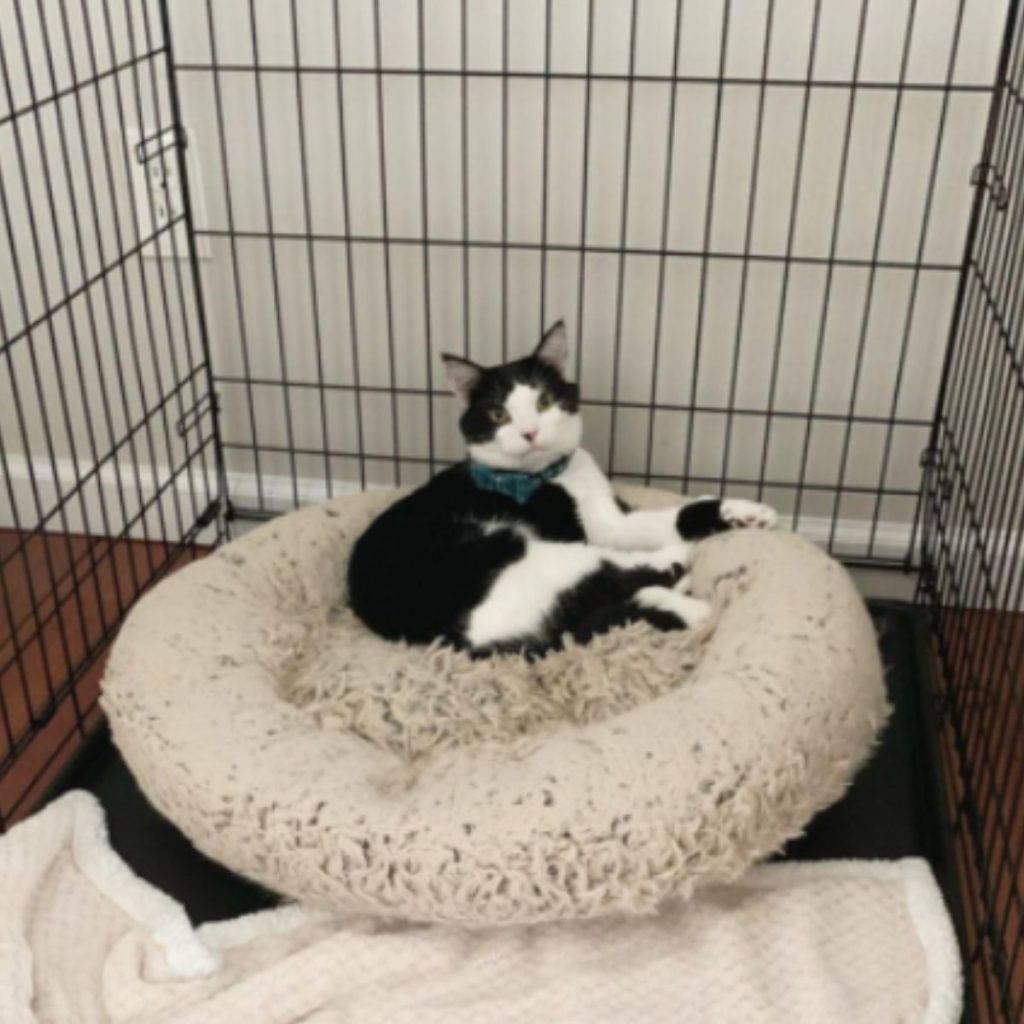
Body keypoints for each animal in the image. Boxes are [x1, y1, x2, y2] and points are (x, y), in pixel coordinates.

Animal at [348, 319, 778, 655]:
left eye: (544, 402)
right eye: (498, 414)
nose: (530, 432)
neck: (554, 476)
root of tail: (452, 637)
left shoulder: (609, 522)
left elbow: (672, 516)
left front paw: (747, 513)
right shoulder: (570, 530)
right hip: (523, 555)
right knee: (612, 576)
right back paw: (685, 585)